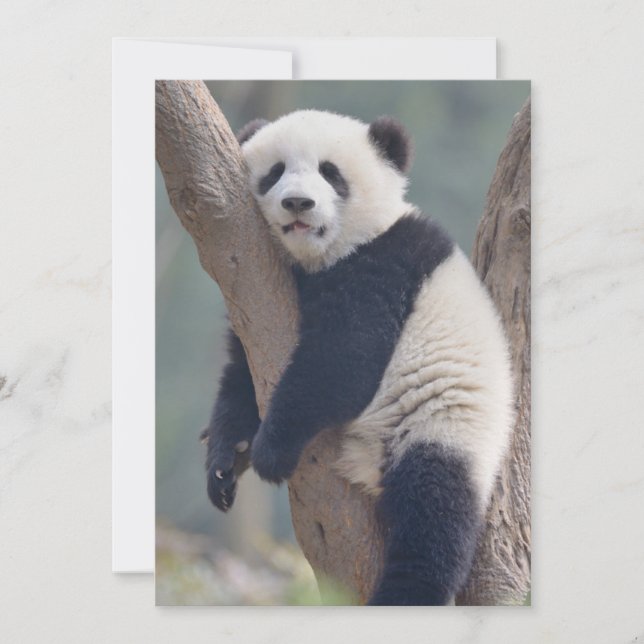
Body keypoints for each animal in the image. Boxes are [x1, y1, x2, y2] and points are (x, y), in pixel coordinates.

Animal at [201, 109, 514, 606]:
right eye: (275, 172)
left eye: (331, 173)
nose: (298, 203)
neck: (322, 258)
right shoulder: (254, 291)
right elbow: (242, 375)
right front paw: (225, 460)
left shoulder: (387, 265)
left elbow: (342, 362)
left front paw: (270, 450)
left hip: (444, 426)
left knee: (434, 512)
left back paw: (406, 591)